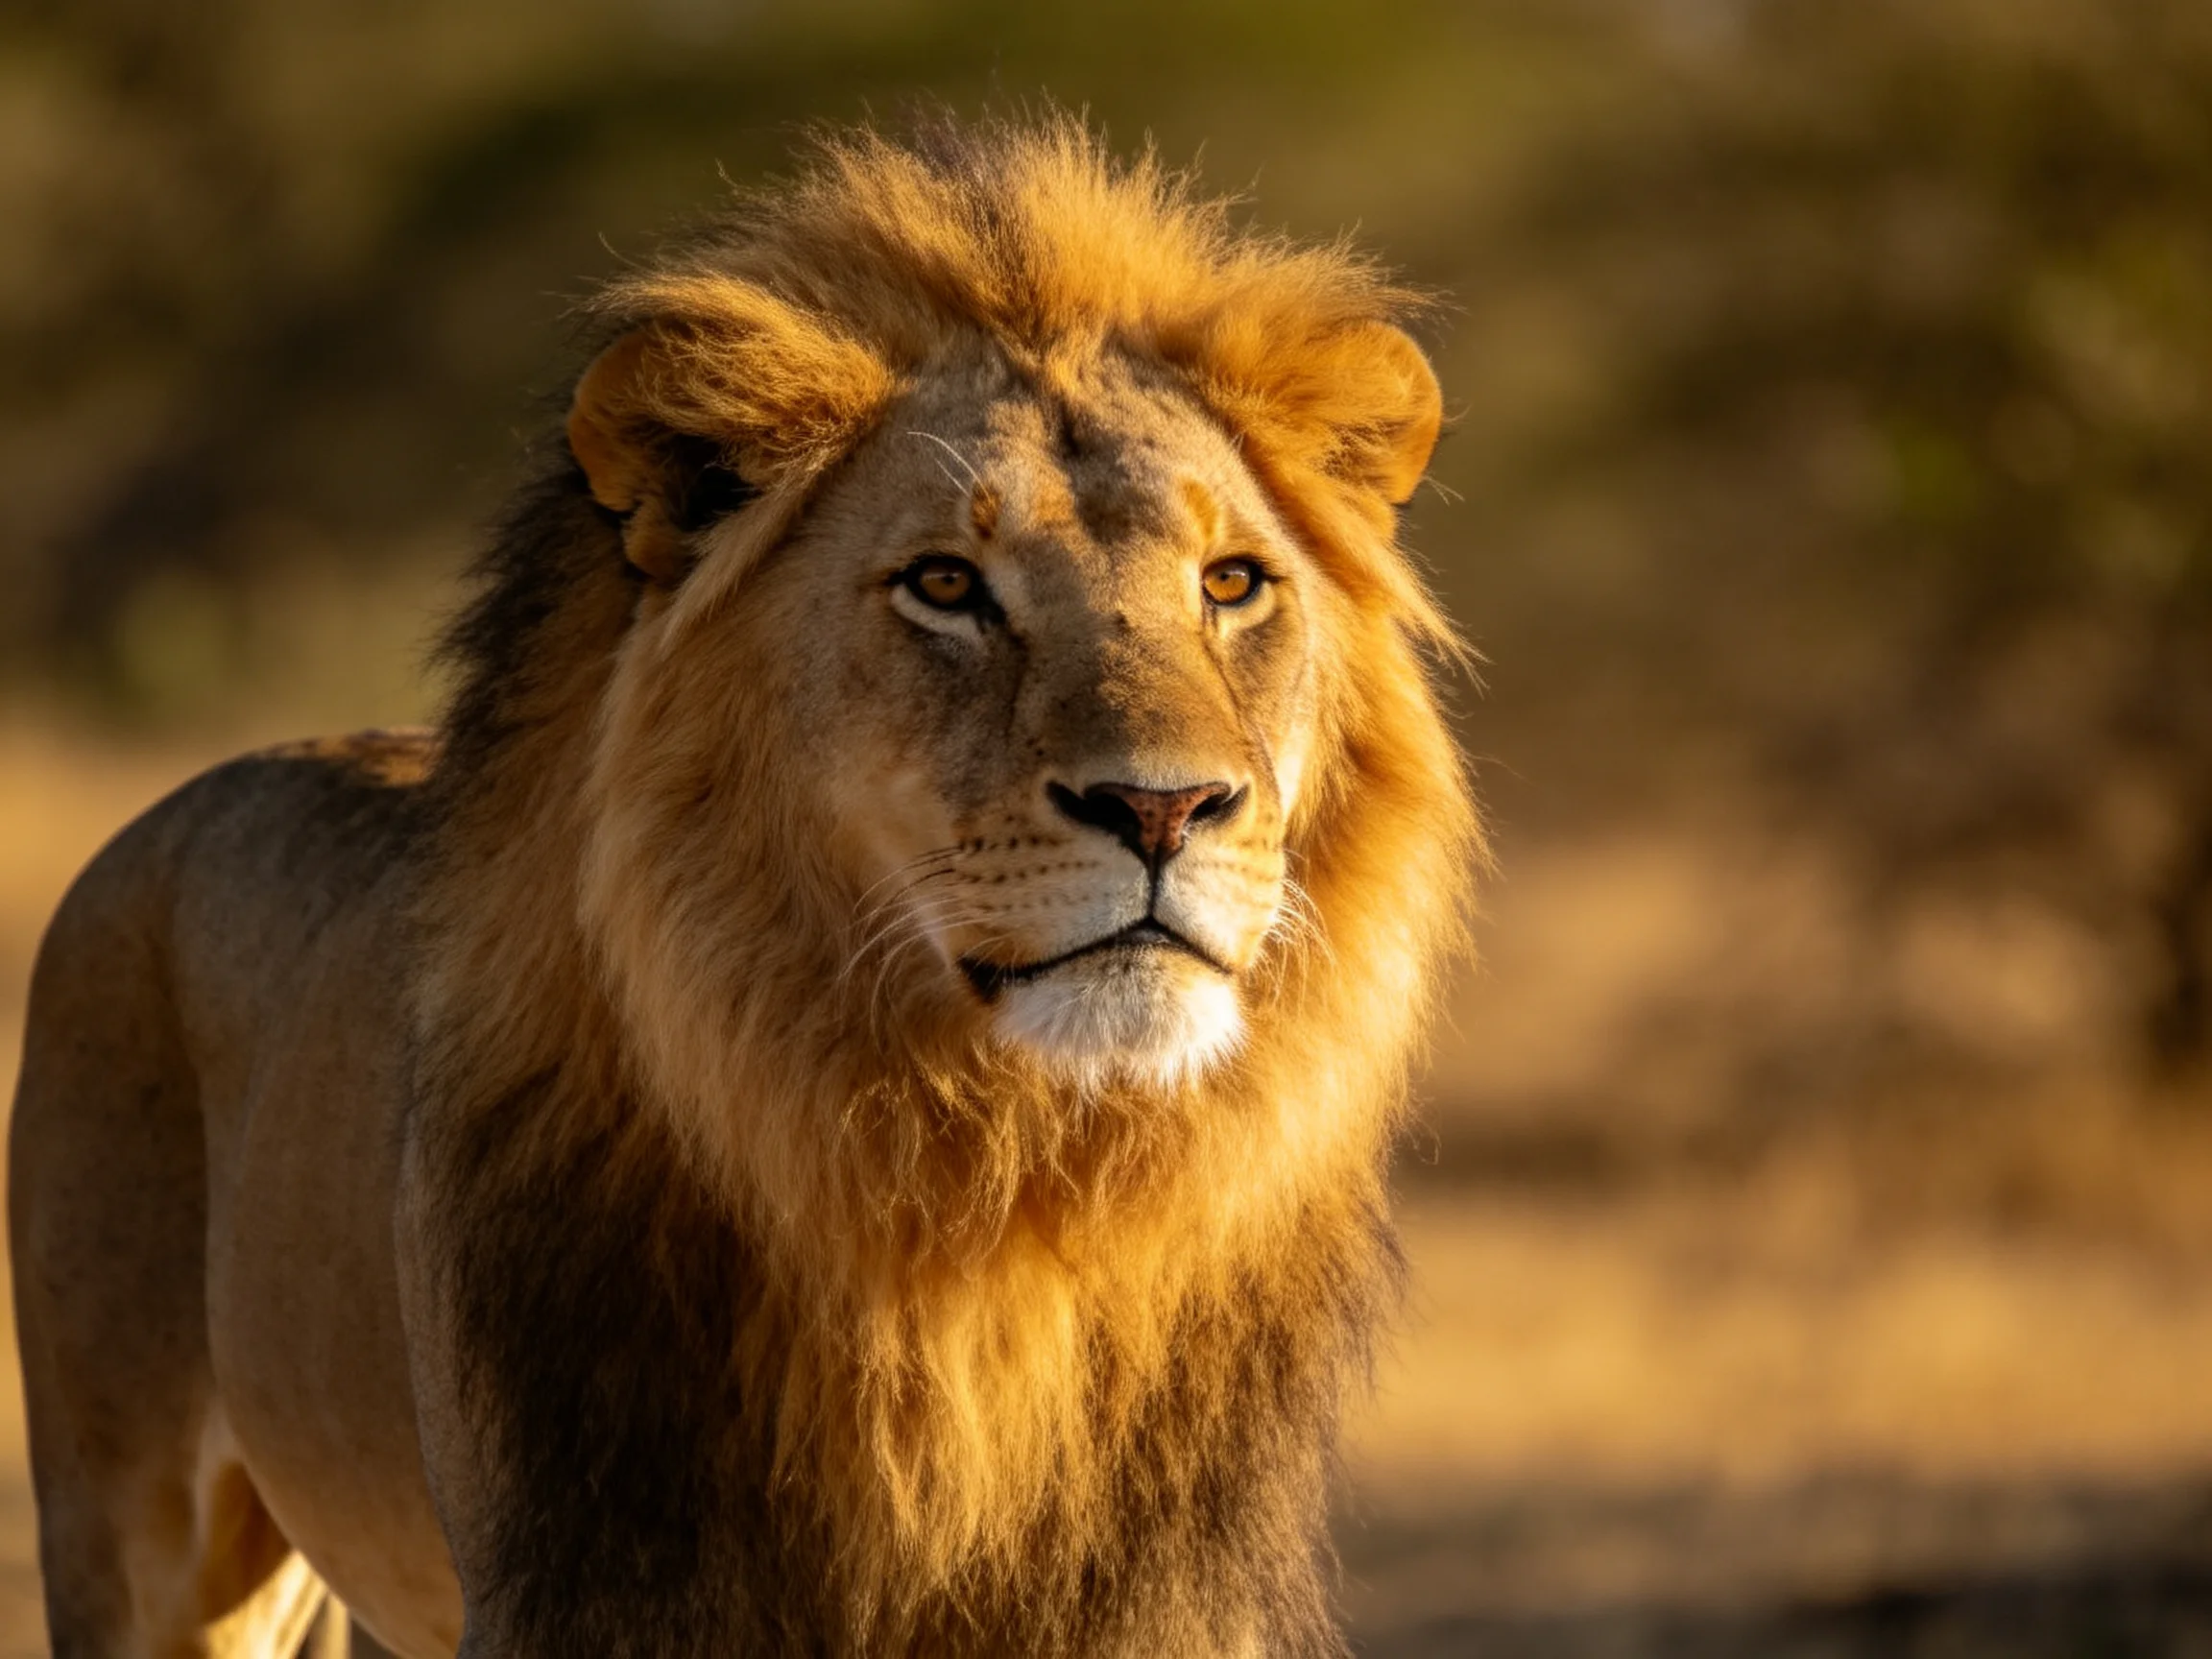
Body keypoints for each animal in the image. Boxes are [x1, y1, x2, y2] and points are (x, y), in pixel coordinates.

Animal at [9, 117, 1479, 1658]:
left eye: (1234, 582)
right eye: (945, 585)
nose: (1164, 808)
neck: (983, 1187)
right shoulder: (583, 1584)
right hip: (131, 1517)